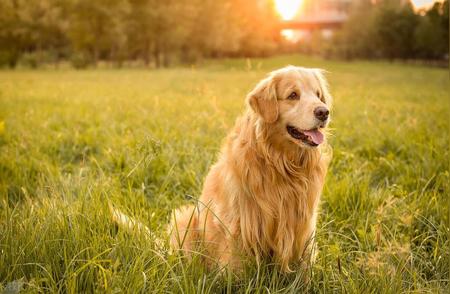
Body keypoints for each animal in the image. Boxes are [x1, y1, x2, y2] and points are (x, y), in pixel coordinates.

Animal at [171, 66, 332, 272]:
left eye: (318, 95)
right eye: (293, 95)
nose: (324, 112)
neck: (281, 163)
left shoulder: (304, 223)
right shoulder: (238, 224)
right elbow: (236, 268)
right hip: (185, 220)